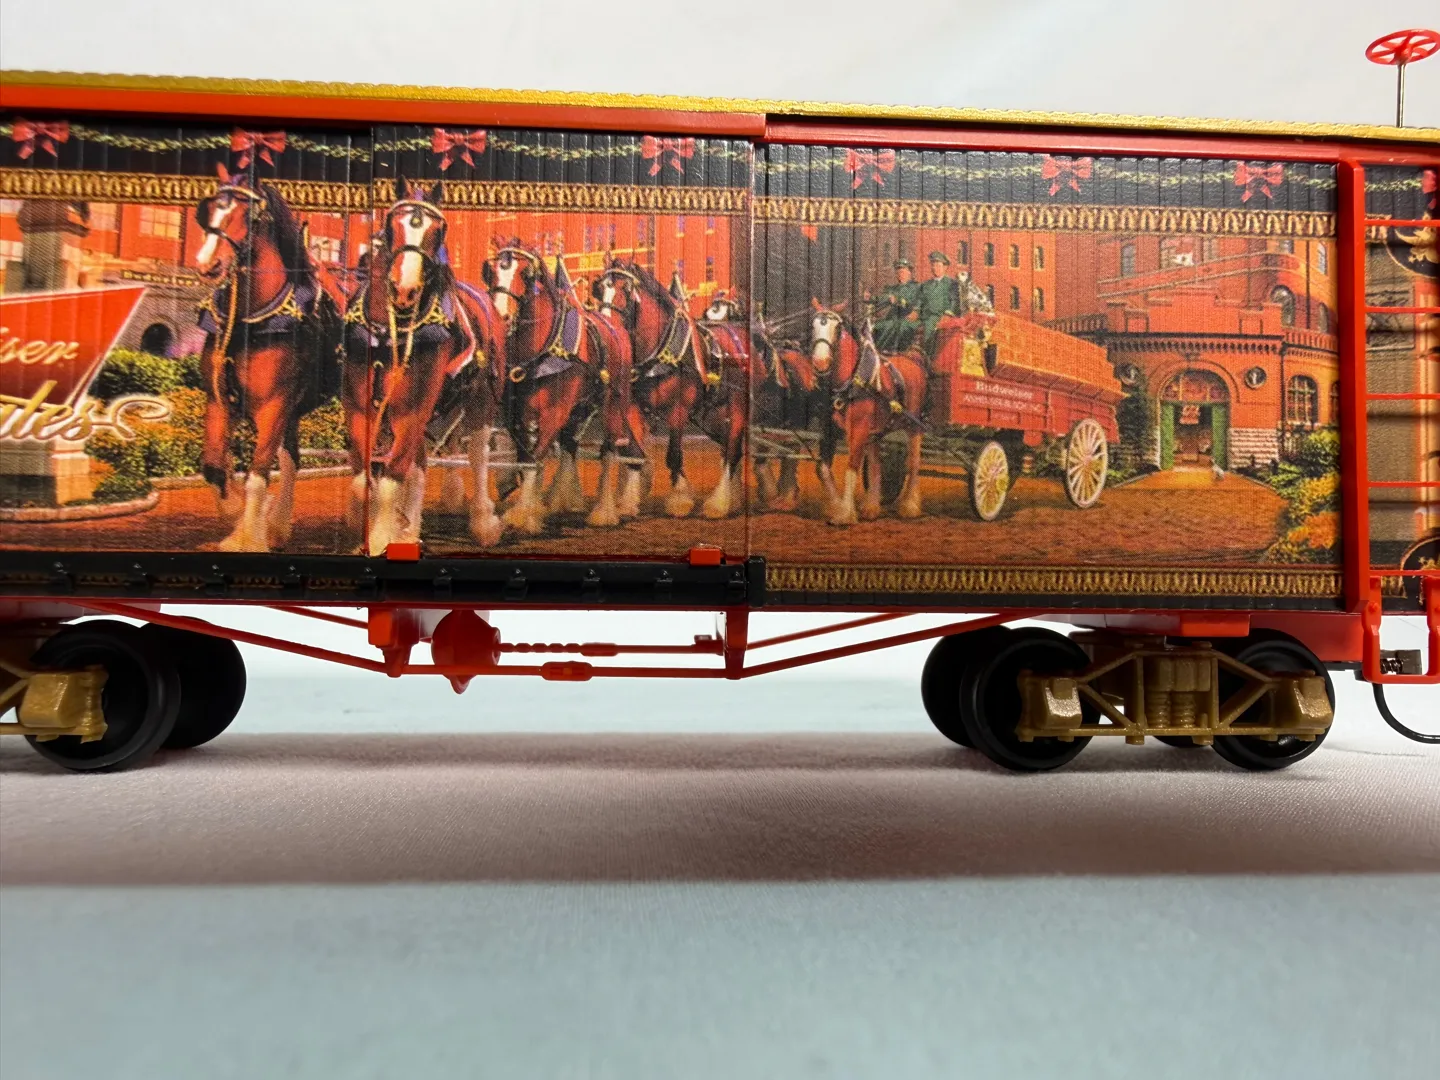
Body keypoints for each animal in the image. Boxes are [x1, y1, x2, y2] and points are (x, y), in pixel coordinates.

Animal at [193, 164, 341, 551]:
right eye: (210, 210)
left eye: (248, 215)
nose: (207, 263)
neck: (251, 320)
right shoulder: (219, 400)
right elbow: (214, 466)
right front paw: (236, 516)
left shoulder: (274, 405)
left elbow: (257, 475)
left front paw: (246, 535)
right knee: (292, 460)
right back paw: (278, 525)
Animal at [340, 178, 508, 555]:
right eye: (393, 226)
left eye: (437, 230)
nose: (404, 289)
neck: (389, 331)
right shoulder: (359, 405)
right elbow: (364, 478)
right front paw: (377, 527)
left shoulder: (412, 408)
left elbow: (392, 476)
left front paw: (380, 537)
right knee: (418, 464)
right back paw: (409, 529)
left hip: (481, 399)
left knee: (477, 455)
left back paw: (483, 523)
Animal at [482, 240, 638, 534]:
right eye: (490, 271)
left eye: (525, 274)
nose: (501, 316)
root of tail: (614, 325)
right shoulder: (516, 414)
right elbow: (526, 457)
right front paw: (528, 504)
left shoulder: (555, 412)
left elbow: (533, 460)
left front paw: (522, 516)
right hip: (579, 408)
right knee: (569, 445)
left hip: (613, 404)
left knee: (608, 452)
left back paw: (603, 511)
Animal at [594, 260, 749, 519]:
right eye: (598, 289)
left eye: (625, 290)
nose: (607, 330)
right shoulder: (633, 408)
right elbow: (635, 454)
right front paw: (627, 503)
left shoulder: (679, 410)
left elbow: (673, 456)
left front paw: (680, 500)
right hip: (712, 416)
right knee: (728, 448)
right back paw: (734, 499)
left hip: (736, 407)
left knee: (731, 452)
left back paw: (718, 503)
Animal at [809, 301, 928, 525]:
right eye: (813, 326)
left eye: (837, 328)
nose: (820, 363)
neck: (850, 381)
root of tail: (913, 356)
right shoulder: (829, 430)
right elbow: (823, 469)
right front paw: (836, 505)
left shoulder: (859, 429)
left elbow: (851, 468)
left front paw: (845, 514)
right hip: (876, 431)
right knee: (876, 465)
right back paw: (872, 507)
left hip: (914, 425)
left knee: (914, 462)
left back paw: (909, 505)